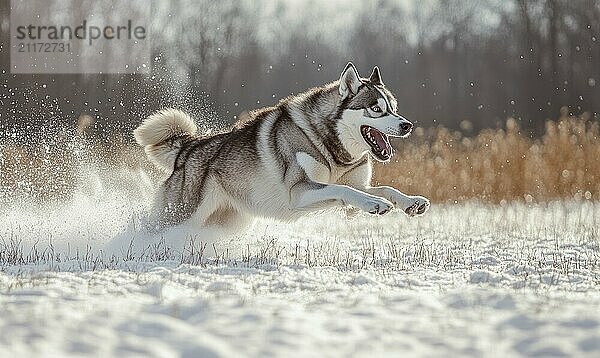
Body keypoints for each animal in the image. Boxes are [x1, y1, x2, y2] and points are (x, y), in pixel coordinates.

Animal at [134, 63, 428, 234]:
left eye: (394, 107)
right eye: (376, 109)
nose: (406, 125)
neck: (331, 147)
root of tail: (189, 146)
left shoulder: (349, 197)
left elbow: (383, 189)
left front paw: (410, 202)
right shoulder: (299, 191)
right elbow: (345, 190)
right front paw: (374, 203)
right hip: (181, 215)